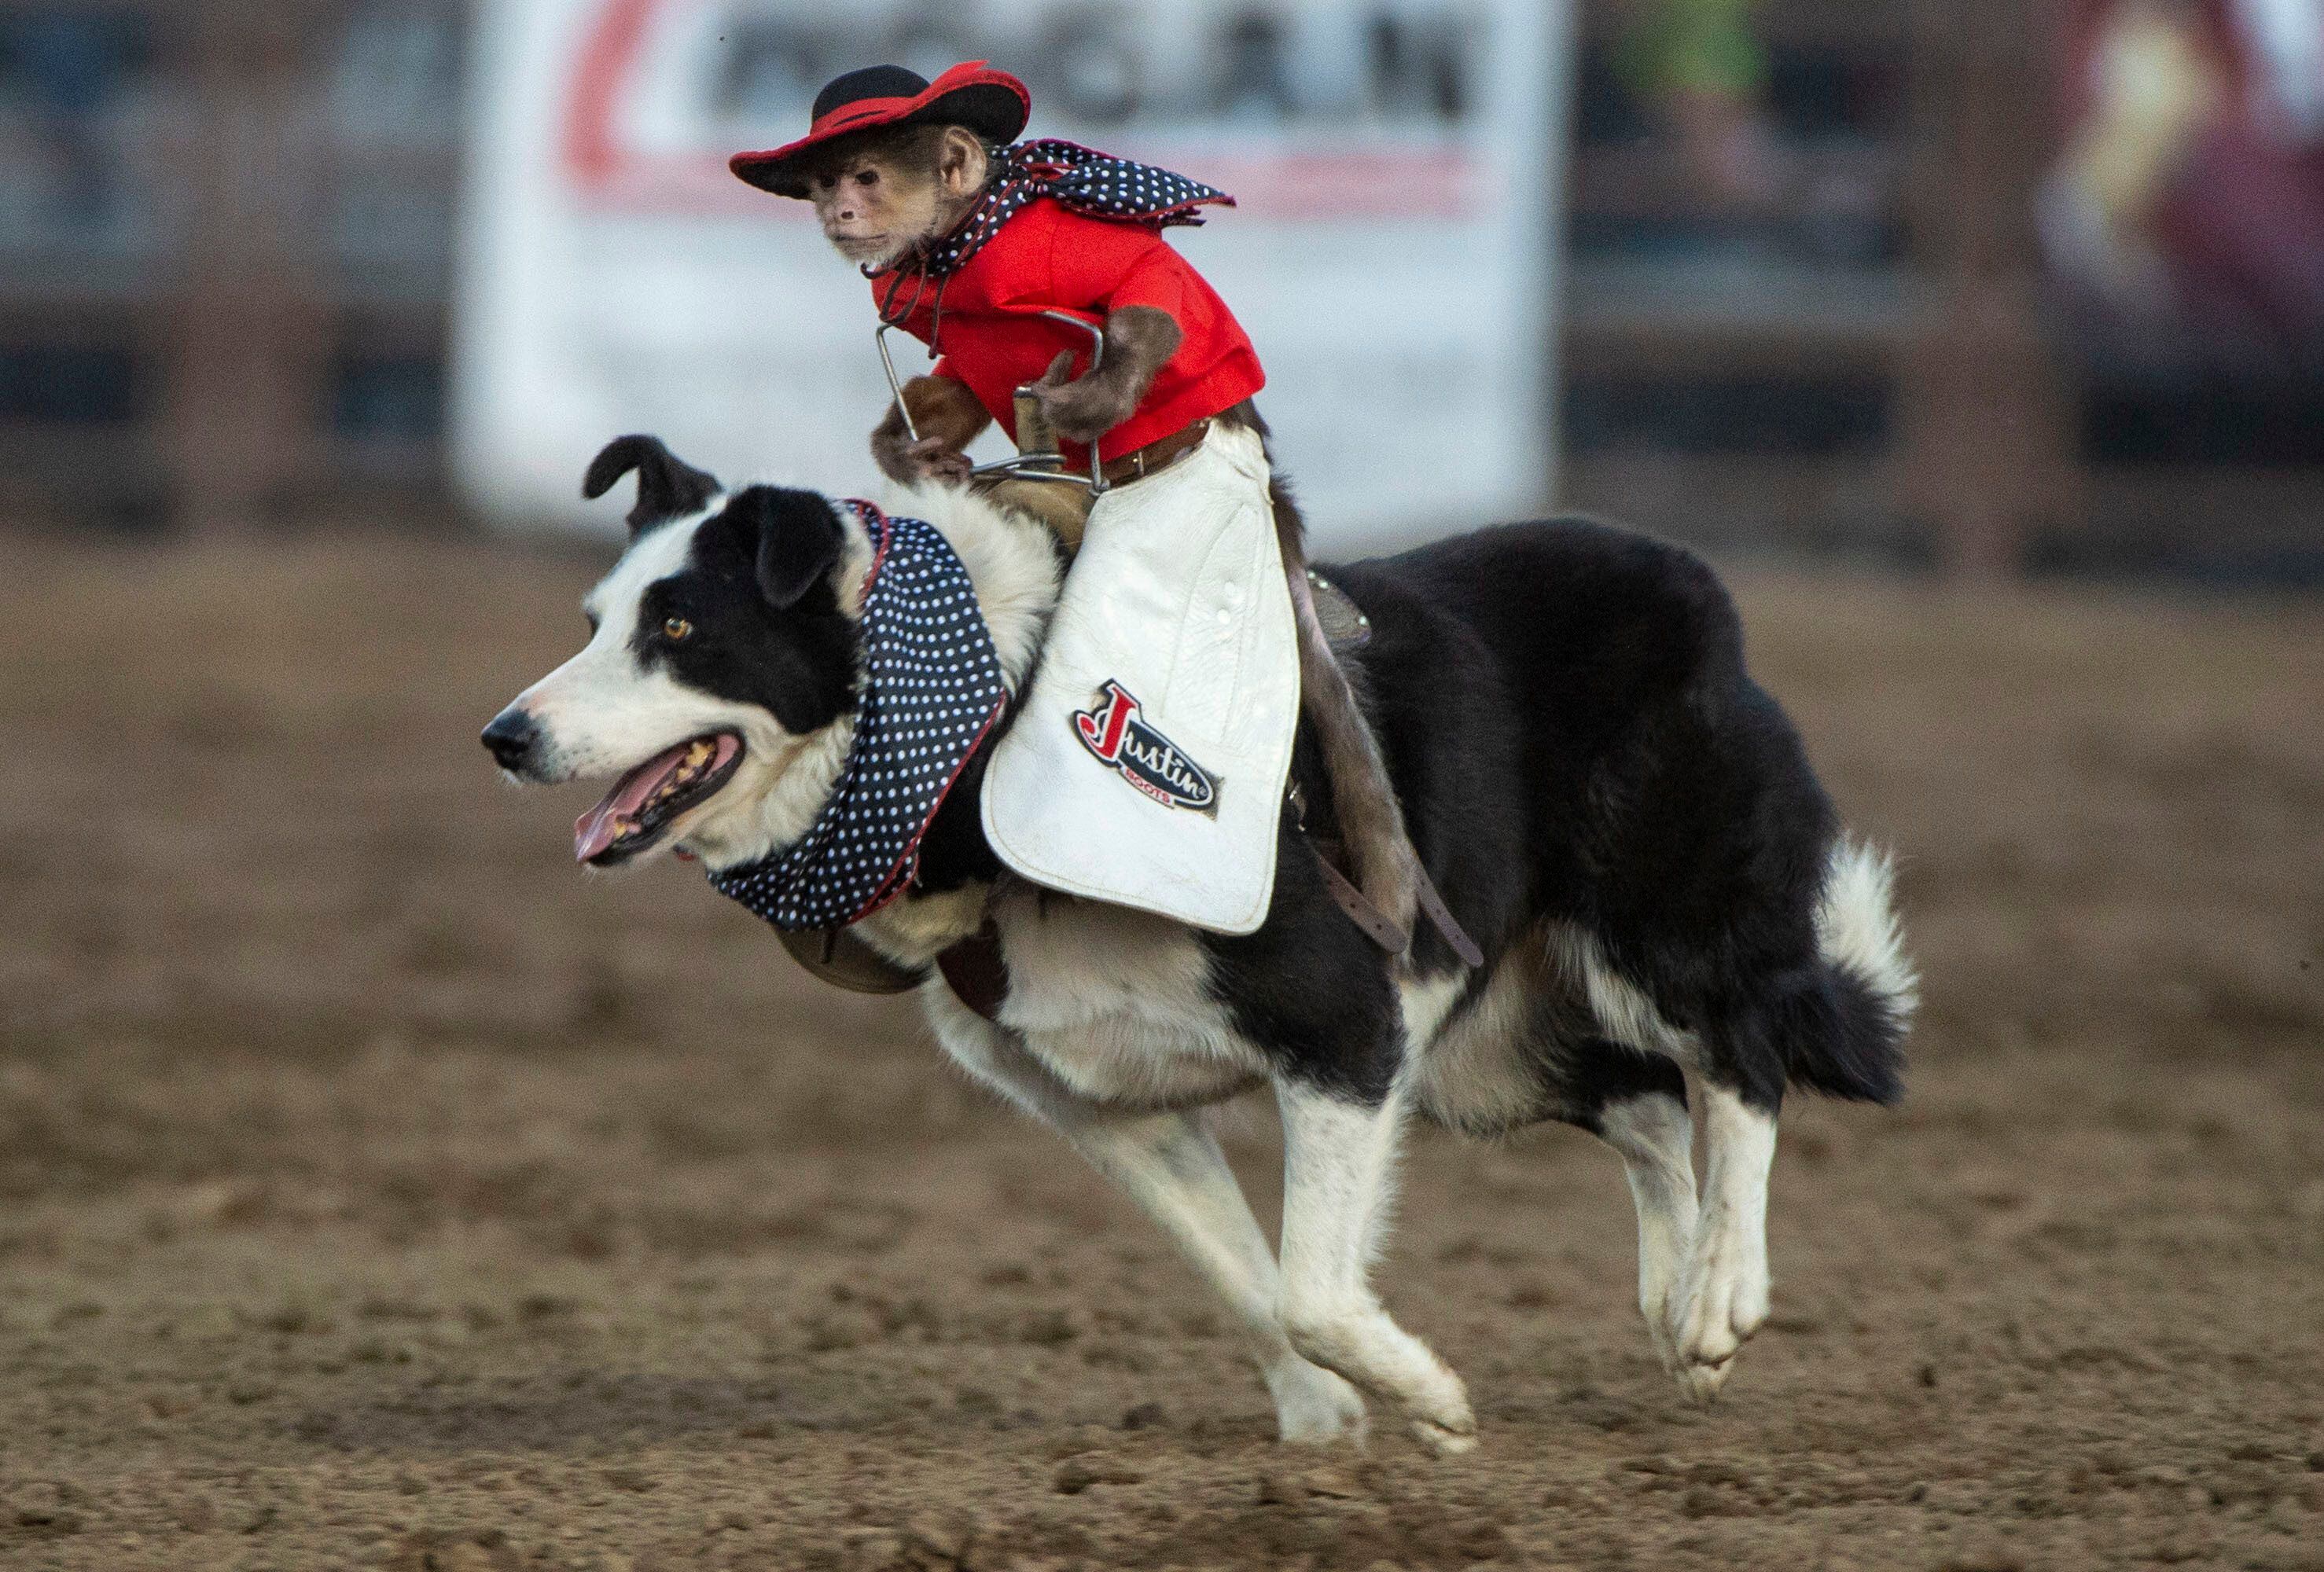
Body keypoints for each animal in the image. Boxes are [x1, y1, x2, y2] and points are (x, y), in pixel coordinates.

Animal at [480, 434, 1914, 1449]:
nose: (506, 736)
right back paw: (1675, 1313)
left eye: (678, 631)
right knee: (1650, 1107)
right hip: (1485, 1053)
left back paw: (1723, 1297)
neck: (976, 730)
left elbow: (1312, 1289)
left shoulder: (1343, 1031)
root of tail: (1697, 586)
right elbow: (1245, 1276)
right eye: (592, 622)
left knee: (1740, 1065)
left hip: (1657, 924)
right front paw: (1325, 1433)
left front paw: (1434, 1402)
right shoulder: (1106, 1105)